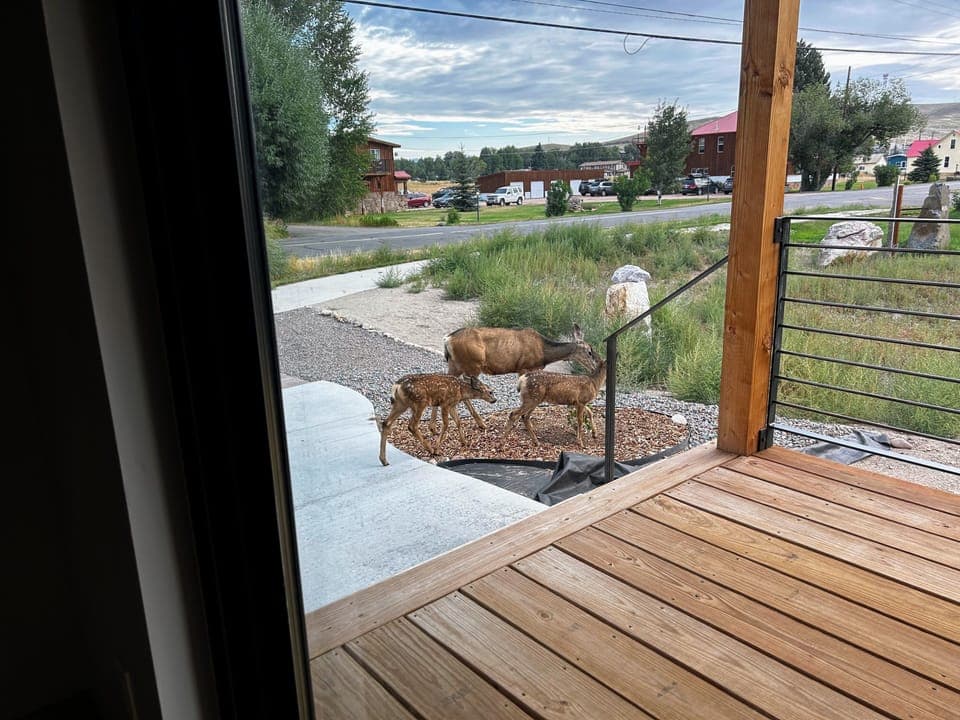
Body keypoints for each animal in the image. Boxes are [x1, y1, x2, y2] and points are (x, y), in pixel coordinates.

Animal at [437, 323, 599, 431]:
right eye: (590, 352)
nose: (595, 366)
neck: (544, 353)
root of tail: (447, 339)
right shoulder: (525, 367)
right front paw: (524, 422)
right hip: (472, 364)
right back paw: (479, 423)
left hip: (456, 364)